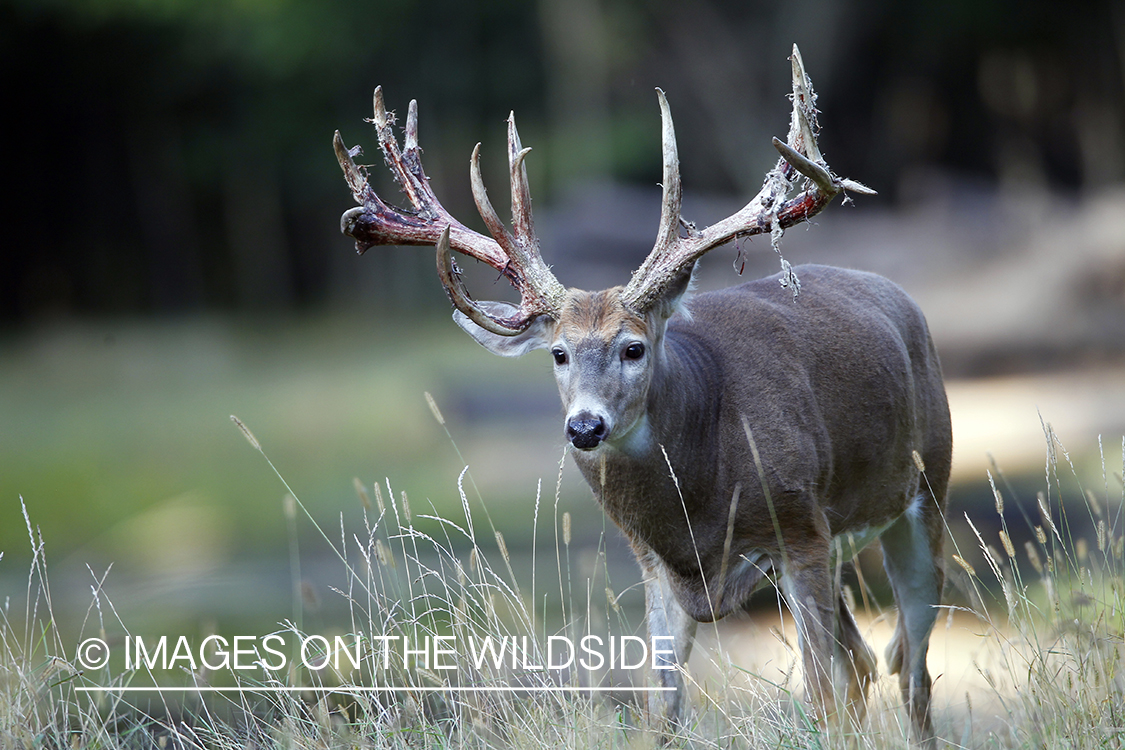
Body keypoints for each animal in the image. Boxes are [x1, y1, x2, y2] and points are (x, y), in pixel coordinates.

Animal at [330, 46, 949, 746]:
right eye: (559, 353)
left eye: (634, 348)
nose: (585, 427)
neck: (703, 500)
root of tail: (902, 299)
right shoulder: (656, 565)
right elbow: (663, 712)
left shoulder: (800, 527)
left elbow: (819, 694)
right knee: (868, 662)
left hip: (925, 489)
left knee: (909, 668)